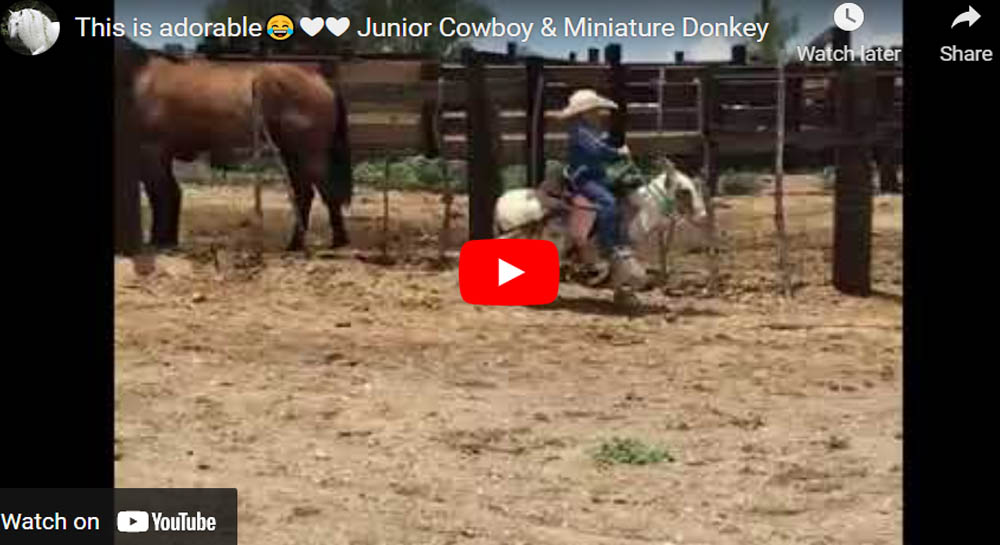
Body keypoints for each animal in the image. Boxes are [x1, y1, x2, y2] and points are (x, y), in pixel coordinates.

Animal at [131, 47, 352, 251]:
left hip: (308, 155)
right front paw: (166, 241)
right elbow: (169, 193)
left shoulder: (150, 152)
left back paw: (337, 242)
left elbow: (162, 194)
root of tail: (320, 81)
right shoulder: (158, 156)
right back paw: (296, 244)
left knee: (326, 192)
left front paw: (159, 242)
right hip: (292, 155)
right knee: (304, 194)